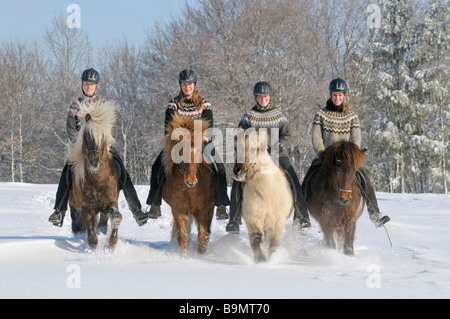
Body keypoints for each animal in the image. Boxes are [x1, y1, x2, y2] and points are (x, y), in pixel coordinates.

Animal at [65, 101, 121, 251]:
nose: (94, 162)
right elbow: (91, 235)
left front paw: (110, 245)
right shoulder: (86, 208)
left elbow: (116, 217)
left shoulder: (111, 203)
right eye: (86, 136)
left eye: (104, 137)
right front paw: (94, 250)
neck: (98, 180)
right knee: (77, 226)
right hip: (74, 207)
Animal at [162, 115, 216, 258]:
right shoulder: (178, 210)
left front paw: (200, 255)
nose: (191, 181)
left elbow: (203, 236)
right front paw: (184, 258)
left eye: (198, 151)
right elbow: (183, 236)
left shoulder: (203, 210)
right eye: (180, 151)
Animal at [234, 127, 294, 262]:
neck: (266, 193)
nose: (237, 171)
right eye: (236, 149)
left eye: (252, 149)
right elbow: (256, 238)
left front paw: (273, 257)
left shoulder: (278, 222)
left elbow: (274, 242)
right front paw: (260, 259)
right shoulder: (253, 218)